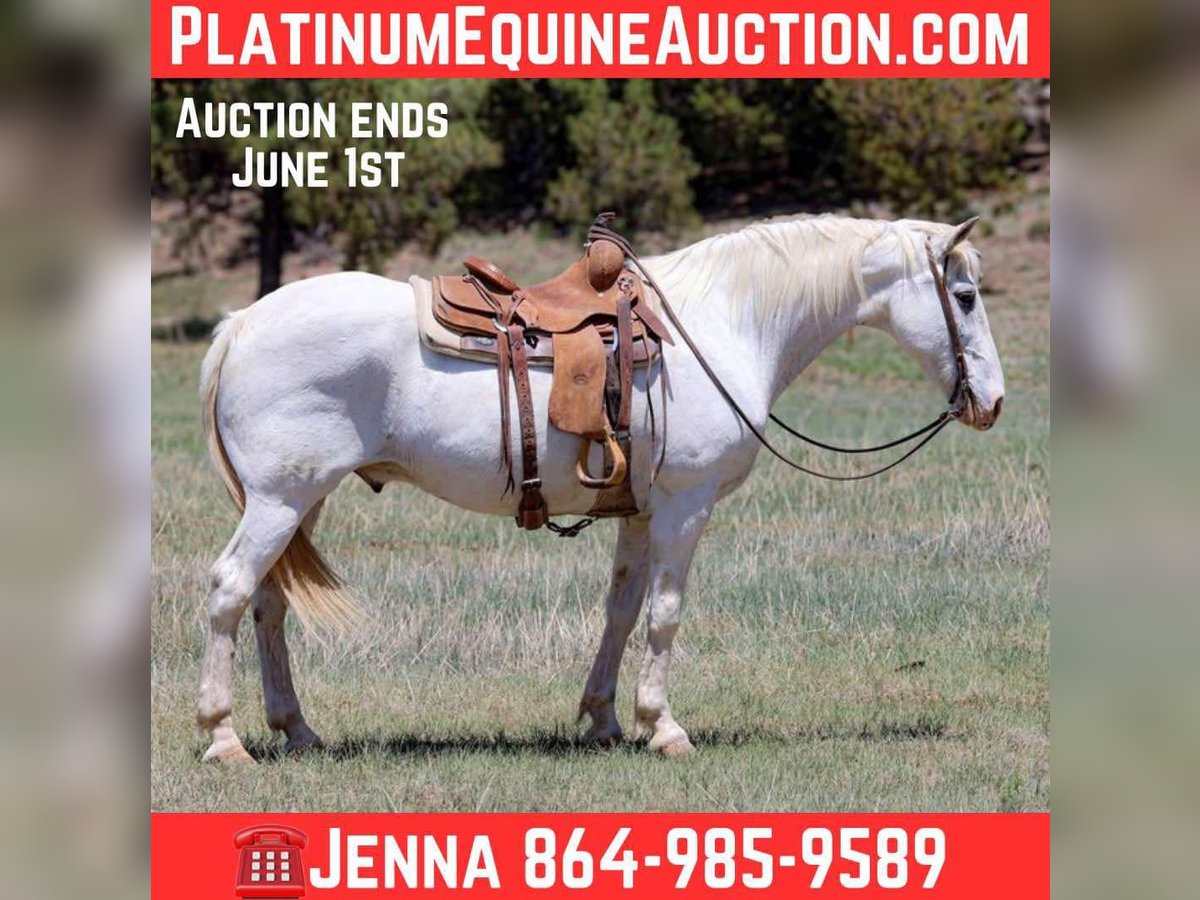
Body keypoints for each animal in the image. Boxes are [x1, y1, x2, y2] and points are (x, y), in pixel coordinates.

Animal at [194, 215, 1005, 762]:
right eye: (964, 295)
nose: (993, 402)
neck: (720, 328)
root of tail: (242, 323)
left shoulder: (640, 513)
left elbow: (621, 611)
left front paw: (607, 719)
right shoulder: (685, 506)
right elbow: (666, 615)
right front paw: (664, 727)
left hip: (300, 502)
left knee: (267, 603)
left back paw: (297, 729)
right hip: (281, 500)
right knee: (232, 588)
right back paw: (223, 737)